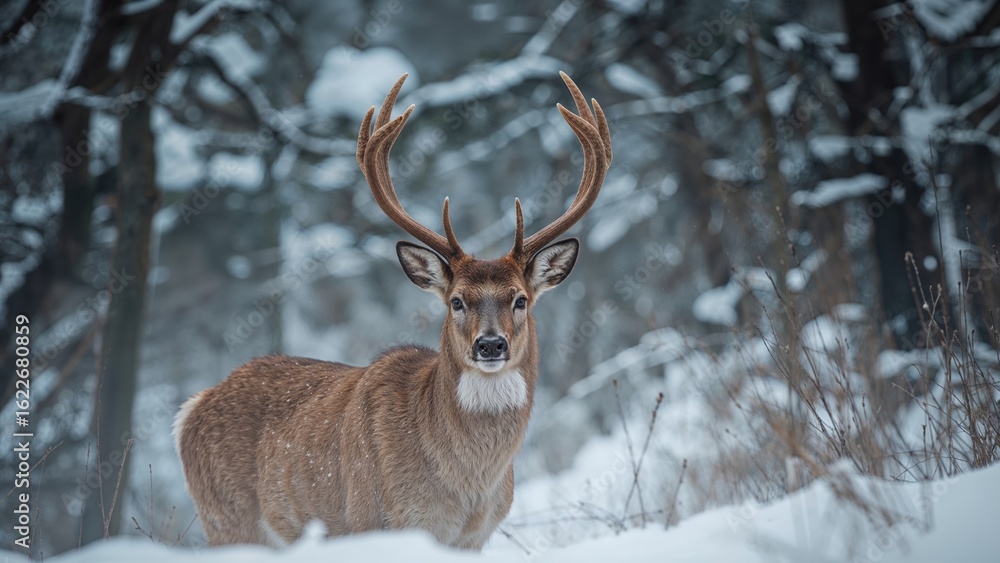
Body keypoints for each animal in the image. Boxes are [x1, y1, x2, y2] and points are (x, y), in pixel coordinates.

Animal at [174, 72, 611, 550]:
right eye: (456, 300)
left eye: (520, 299)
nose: (491, 345)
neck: (467, 487)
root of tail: (193, 407)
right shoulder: (373, 520)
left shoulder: (475, 537)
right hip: (228, 521)